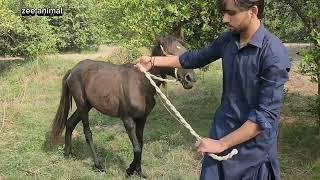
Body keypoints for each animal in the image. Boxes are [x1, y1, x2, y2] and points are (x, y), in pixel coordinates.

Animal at [50, 34, 195, 177]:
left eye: (185, 51)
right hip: (82, 106)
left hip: (87, 105)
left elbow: (140, 144)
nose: (190, 78)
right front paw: (130, 170)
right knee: (87, 133)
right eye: (169, 53)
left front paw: (139, 172)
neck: (141, 85)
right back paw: (98, 165)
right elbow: (136, 148)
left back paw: (67, 153)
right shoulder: (127, 120)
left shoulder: (142, 119)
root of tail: (73, 70)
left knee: (69, 123)